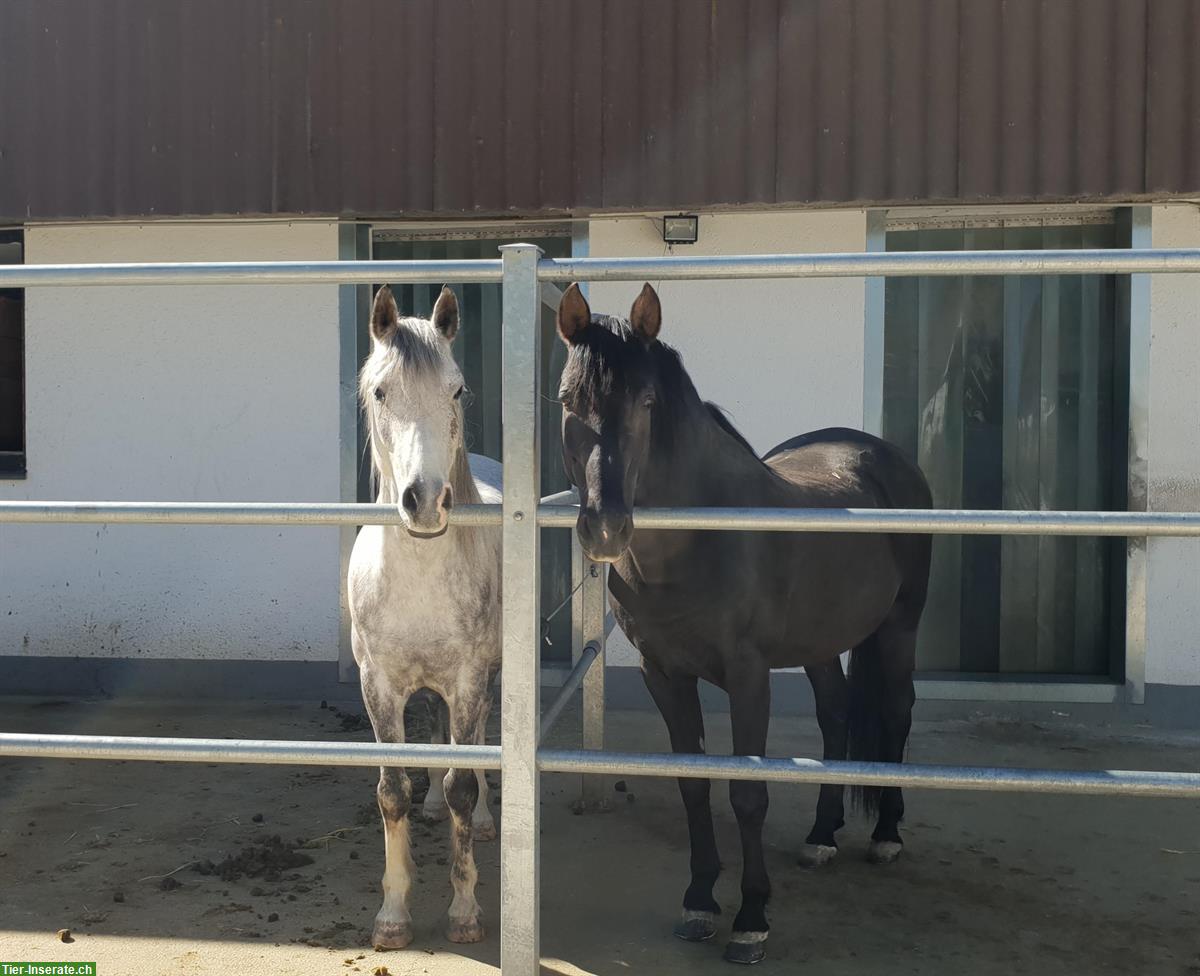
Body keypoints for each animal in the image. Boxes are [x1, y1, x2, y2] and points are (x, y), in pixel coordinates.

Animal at [556, 282, 931, 960]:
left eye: (646, 401)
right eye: (569, 400)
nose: (605, 528)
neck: (696, 543)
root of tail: (882, 454)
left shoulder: (748, 677)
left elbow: (747, 793)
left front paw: (752, 917)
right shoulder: (663, 674)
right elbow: (694, 785)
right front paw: (700, 901)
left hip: (899, 627)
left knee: (895, 711)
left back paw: (887, 834)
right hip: (820, 641)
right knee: (835, 713)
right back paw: (822, 836)